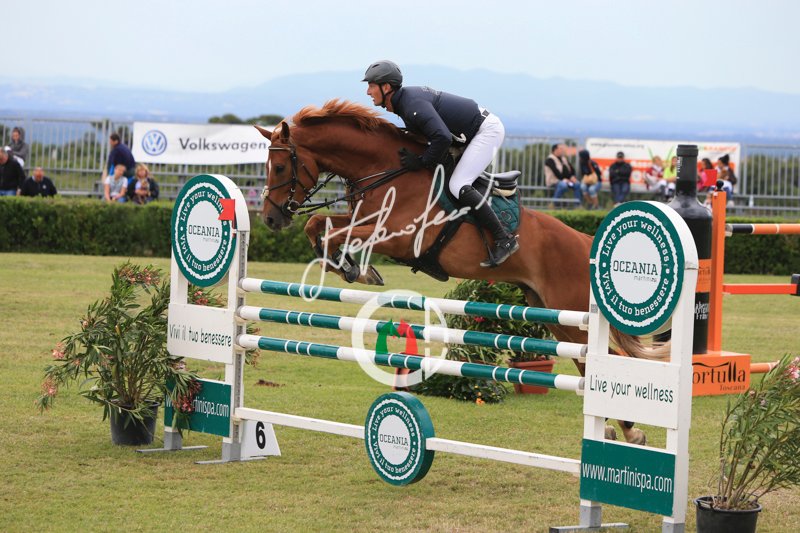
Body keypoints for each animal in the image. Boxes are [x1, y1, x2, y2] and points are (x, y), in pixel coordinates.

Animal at [256, 99, 664, 444]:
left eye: (280, 166)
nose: (271, 218)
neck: (385, 169)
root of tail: (585, 243)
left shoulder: (399, 236)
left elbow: (332, 232)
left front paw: (354, 268)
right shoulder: (366, 220)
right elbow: (319, 225)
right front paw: (349, 266)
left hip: (572, 310)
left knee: (608, 358)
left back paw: (630, 430)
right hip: (555, 314)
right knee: (585, 360)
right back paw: (618, 429)